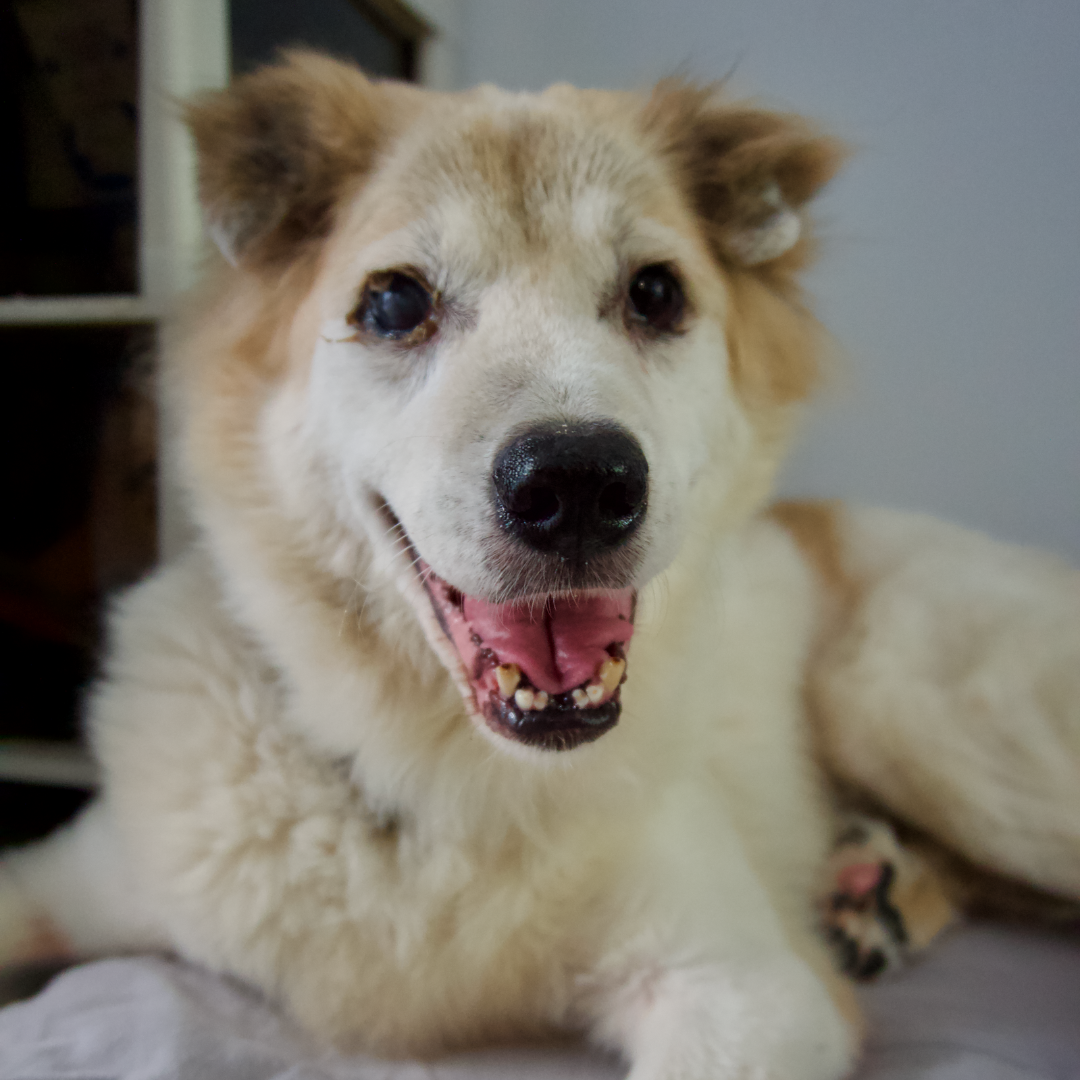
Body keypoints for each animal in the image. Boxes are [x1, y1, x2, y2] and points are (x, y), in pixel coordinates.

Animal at [1, 52, 1078, 1079]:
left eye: (656, 293)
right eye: (394, 301)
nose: (579, 486)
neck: (426, 782)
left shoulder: (749, 991)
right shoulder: (69, 878)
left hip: (913, 716)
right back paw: (871, 890)